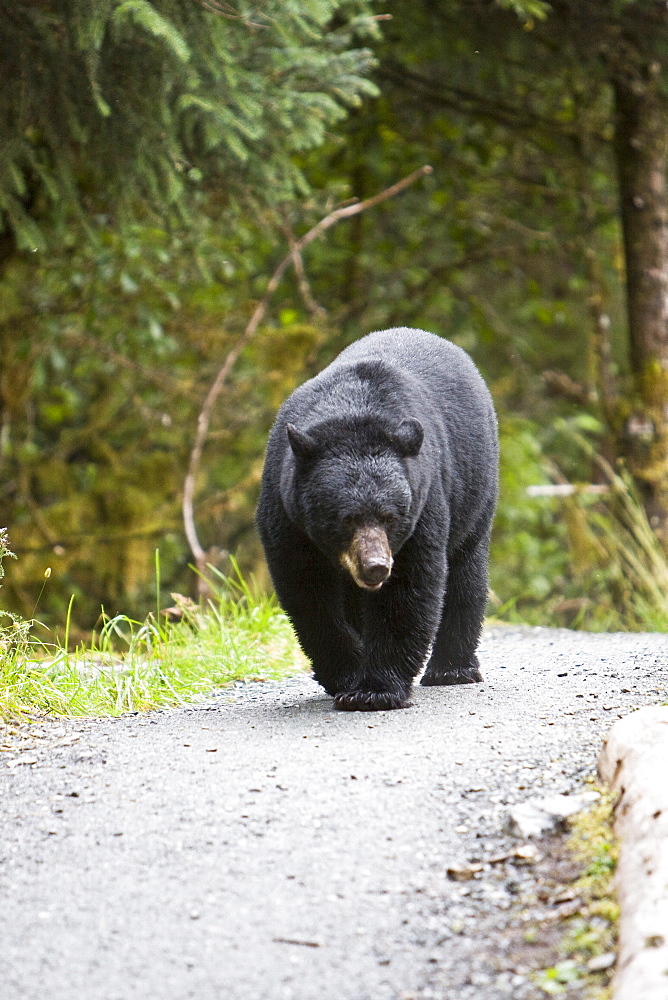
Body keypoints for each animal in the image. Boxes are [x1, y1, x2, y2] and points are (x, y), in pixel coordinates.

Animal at [256, 328, 496, 712]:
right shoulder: (287, 511)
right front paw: (346, 674)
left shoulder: (423, 501)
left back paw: (451, 669)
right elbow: (308, 592)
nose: (376, 566)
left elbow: (407, 589)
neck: (354, 412)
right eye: (346, 518)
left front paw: (374, 690)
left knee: (465, 571)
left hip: (475, 487)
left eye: (390, 517)